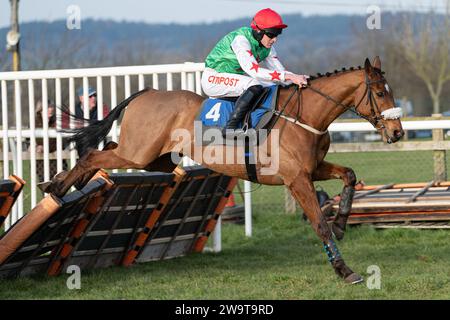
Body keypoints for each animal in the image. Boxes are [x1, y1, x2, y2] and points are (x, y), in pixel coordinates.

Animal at [44, 56, 404, 284]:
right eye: (380, 92)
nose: (398, 132)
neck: (305, 117)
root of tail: (147, 93)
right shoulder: (296, 179)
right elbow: (319, 225)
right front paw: (345, 270)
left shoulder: (311, 170)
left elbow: (350, 175)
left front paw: (342, 223)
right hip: (138, 153)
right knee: (94, 155)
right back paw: (57, 186)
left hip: (153, 158)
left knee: (105, 148)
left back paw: (63, 183)